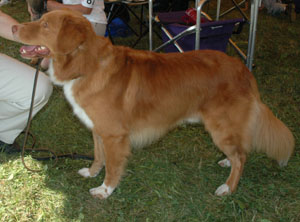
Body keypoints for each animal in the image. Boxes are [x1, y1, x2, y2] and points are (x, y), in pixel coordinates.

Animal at [11, 9, 292, 199]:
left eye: (45, 24)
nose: (13, 28)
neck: (87, 64)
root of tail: (243, 69)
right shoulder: (99, 131)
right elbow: (99, 157)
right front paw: (91, 173)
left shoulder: (114, 135)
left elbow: (112, 166)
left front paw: (105, 190)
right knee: (239, 152)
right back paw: (226, 162)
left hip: (220, 127)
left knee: (242, 157)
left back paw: (228, 186)